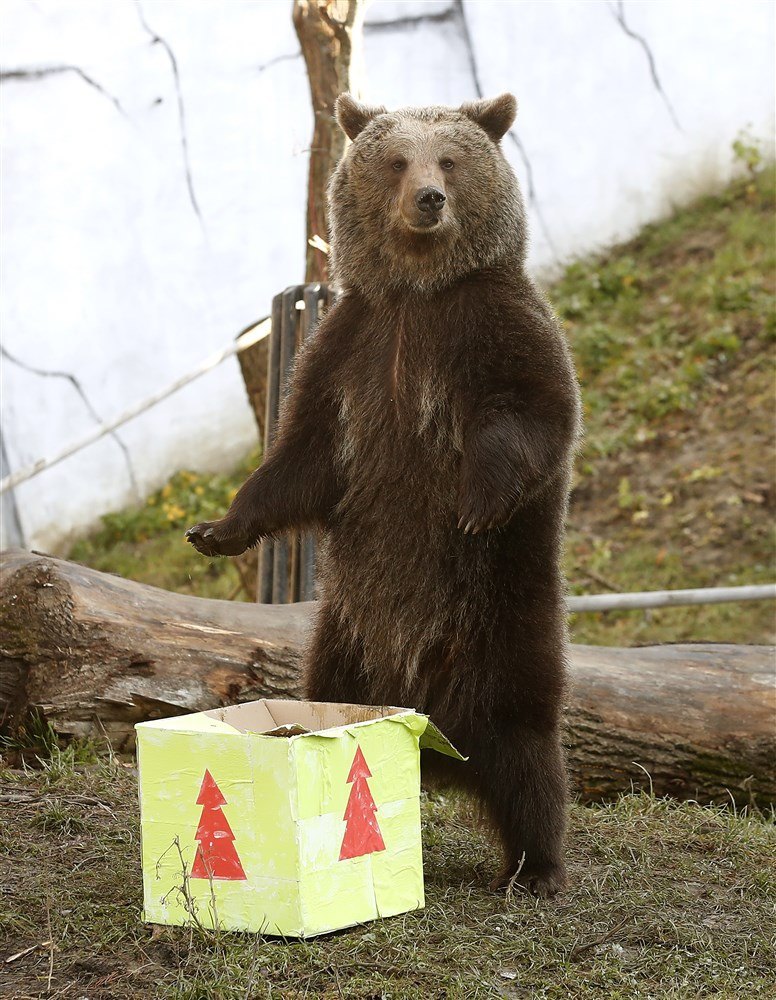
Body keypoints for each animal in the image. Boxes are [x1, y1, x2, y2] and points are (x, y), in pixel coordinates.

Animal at [186, 90, 584, 896]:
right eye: (398, 160)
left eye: (451, 159)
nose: (430, 199)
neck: (418, 292)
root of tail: (436, 738)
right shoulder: (350, 347)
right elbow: (301, 459)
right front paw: (219, 528)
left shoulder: (492, 326)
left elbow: (532, 413)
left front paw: (475, 500)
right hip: (345, 638)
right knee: (330, 690)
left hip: (500, 622)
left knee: (528, 754)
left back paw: (535, 868)